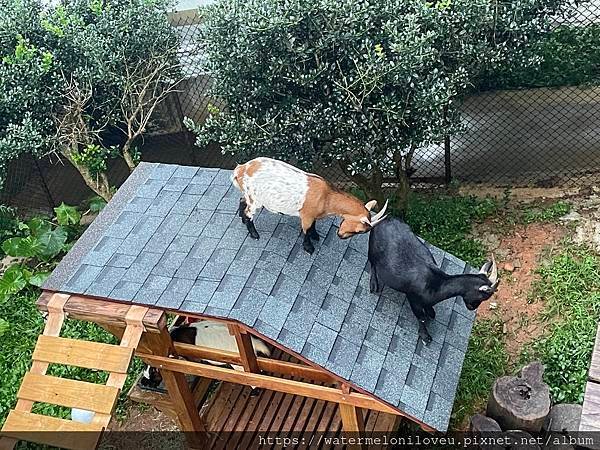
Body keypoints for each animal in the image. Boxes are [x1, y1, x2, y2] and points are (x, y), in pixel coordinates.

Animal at [230, 157, 390, 253]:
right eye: (360, 231)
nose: (340, 235)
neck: (327, 197)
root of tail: (241, 169)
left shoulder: (313, 215)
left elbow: (313, 226)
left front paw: (316, 236)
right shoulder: (306, 215)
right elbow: (306, 229)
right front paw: (309, 247)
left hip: (249, 195)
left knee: (242, 201)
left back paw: (242, 218)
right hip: (254, 198)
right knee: (249, 212)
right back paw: (254, 233)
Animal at [368, 216, 500, 342]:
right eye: (485, 296)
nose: (473, 307)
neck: (437, 284)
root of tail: (383, 219)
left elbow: (430, 312)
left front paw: (430, 313)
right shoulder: (413, 300)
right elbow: (421, 318)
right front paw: (425, 336)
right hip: (372, 247)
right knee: (372, 262)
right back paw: (374, 285)